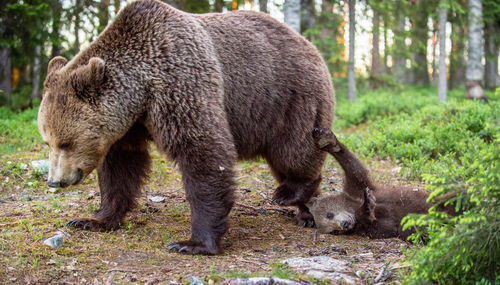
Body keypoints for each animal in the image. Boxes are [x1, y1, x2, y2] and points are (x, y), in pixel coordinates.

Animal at [38, 0, 332, 253]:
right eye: (48, 141)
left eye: (67, 142)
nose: (55, 181)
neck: (142, 92)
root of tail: (309, 43)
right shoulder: (128, 126)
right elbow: (120, 168)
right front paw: (92, 219)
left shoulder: (179, 83)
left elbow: (202, 152)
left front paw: (194, 243)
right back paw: (306, 212)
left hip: (290, 99)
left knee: (293, 152)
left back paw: (292, 193)